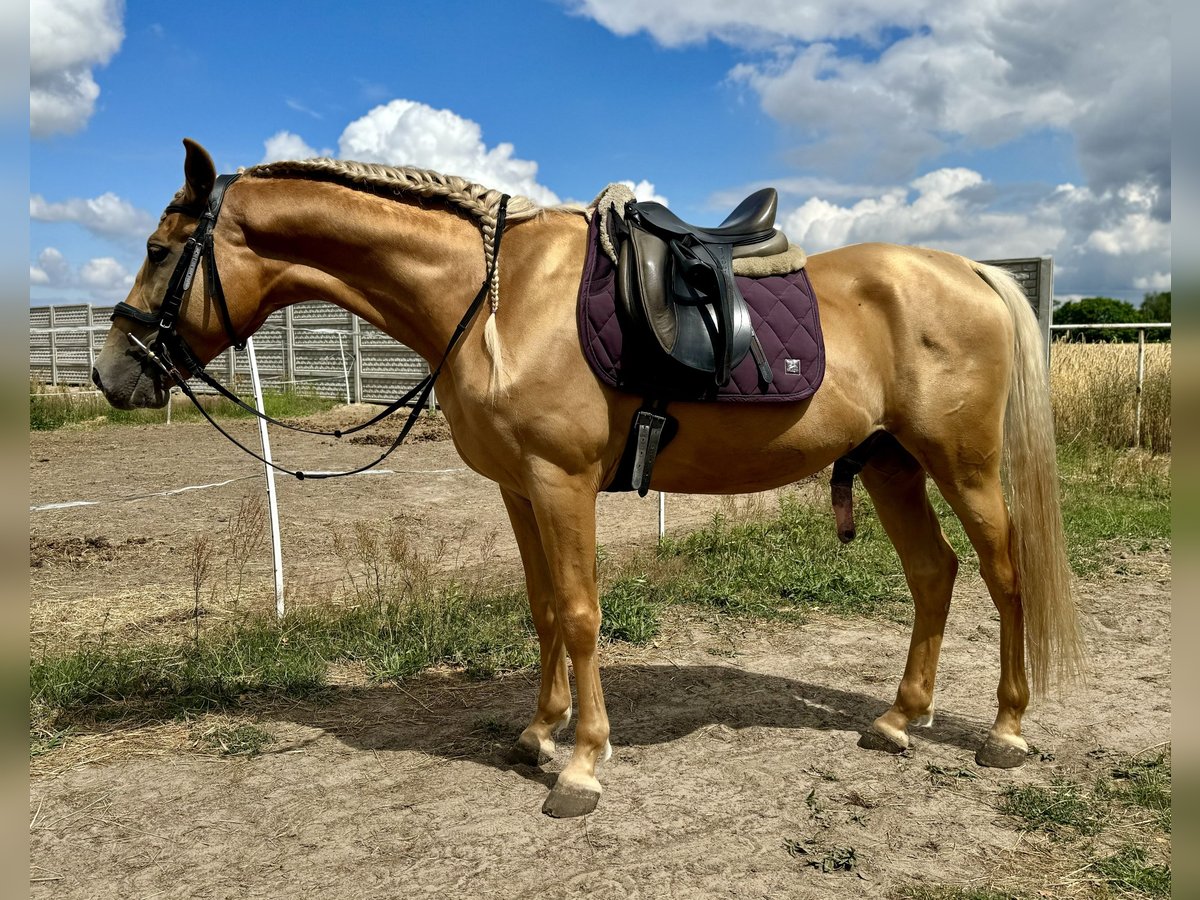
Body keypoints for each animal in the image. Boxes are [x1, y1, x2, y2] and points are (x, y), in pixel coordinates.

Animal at [96, 139, 1089, 816]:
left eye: (158, 249)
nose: (112, 374)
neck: (496, 303)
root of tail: (970, 270)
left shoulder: (562, 481)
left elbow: (578, 613)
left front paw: (580, 764)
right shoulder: (517, 488)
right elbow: (542, 610)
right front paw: (540, 734)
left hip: (961, 464)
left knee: (1003, 576)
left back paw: (1005, 730)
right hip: (889, 464)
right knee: (934, 576)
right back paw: (898, 720)